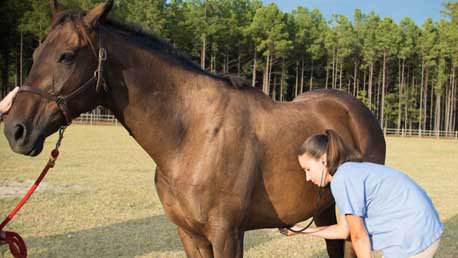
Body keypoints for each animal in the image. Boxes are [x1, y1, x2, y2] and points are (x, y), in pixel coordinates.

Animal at [2, 1, 386, 256]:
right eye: (35, 53)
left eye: (66, 55)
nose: (15, 130)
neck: (191, 137)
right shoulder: (189, 234)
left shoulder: (227, 233)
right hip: (324, 211)